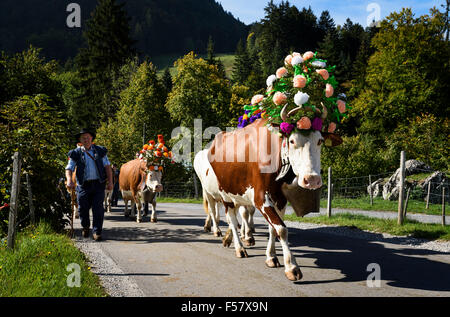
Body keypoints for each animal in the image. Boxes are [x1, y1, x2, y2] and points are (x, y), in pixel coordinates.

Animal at [197, 113, 342, 278]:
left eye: (320, 141)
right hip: (222, 194)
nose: (311, 179)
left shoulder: (280, 198)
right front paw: (291, 266)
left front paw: (271, 256)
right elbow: (282, 229)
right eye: (291, 141)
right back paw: (238, 247)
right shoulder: (260, 198)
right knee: (227, 218)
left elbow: (273, 228)